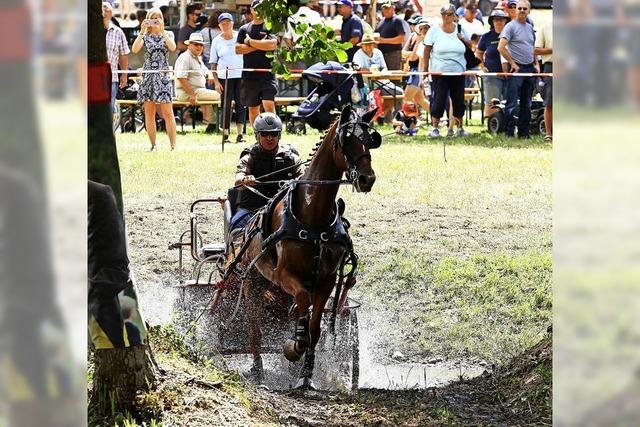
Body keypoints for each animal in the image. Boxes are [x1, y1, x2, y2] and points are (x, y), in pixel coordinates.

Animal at [234, 105, 378, 390]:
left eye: (371, 140)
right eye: (347, 140)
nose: (368, 179)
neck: (313, 216)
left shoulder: (326, 280)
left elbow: (314, 328)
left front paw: (306, 375)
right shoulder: (284, 275)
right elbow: (302, 304)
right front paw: (293, 347)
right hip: (252, 283)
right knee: (255, 327)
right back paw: (258, 370)